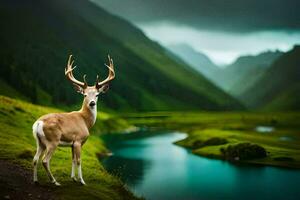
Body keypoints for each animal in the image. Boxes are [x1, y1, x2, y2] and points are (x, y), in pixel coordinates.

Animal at [31, 54, 115, 185]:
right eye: (85, 95)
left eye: (97, 94)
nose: (92, 103)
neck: (85, 121)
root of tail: (39, 123)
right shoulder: (78, 140)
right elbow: (79, 160)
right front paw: (82, 181)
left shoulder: (72, 143)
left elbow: (73, 160)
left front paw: (73, 178)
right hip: (53, 140)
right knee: (45, 160)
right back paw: (55, 181)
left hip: (39, 142)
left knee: (35, 159)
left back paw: (35, 180)